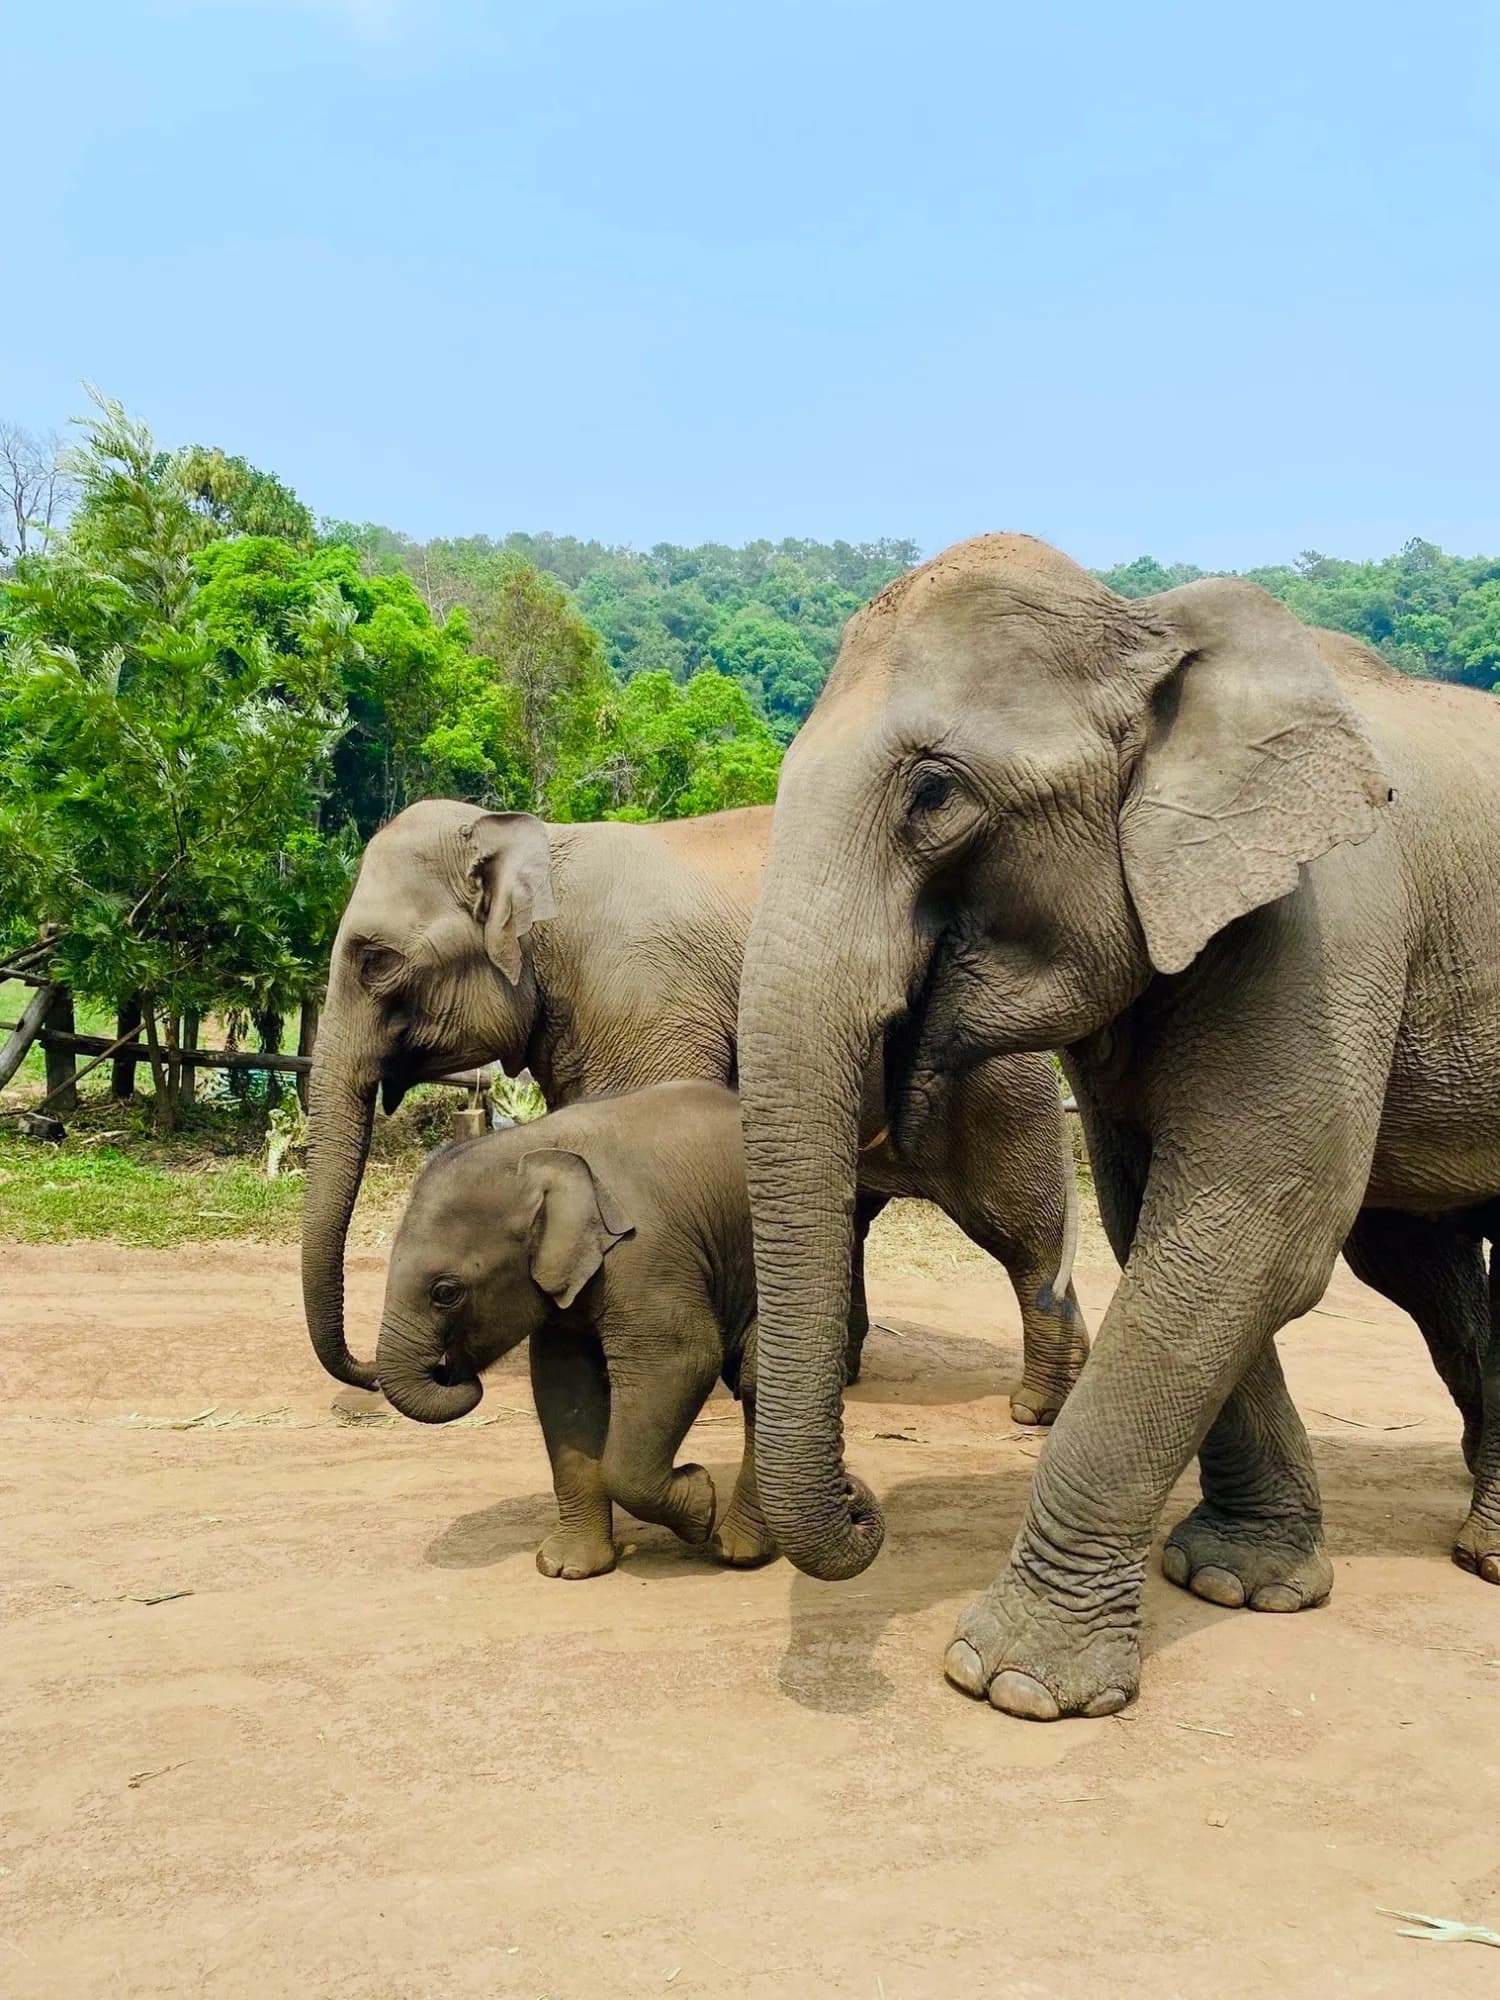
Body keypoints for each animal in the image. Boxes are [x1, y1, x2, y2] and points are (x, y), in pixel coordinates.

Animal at [302, 798, 1088, 1425]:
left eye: (376, 962)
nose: (373, 1374)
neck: (540, 844)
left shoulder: (645, 1002)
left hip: (992, 1072)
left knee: (1020, 1225)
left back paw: (1036, 1408)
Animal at [375, 1081, 771, 1577]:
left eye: (446, 1292)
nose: (452, 1370)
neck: (535, 1150)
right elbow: (563, 1383)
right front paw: (567, 1569)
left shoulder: (646, 1254)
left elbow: (685, 1357)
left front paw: (700, 1501)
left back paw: (737, 1551)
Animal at [735, 531, 1500, 1721]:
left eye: (934, 794)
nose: (866, 1505)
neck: (1147, 628)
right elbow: (1160, 1220)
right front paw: (1240, 1580)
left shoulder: (1331, 922)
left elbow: (1256, 1229)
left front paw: (1013, 1682)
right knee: (1413, 1257)